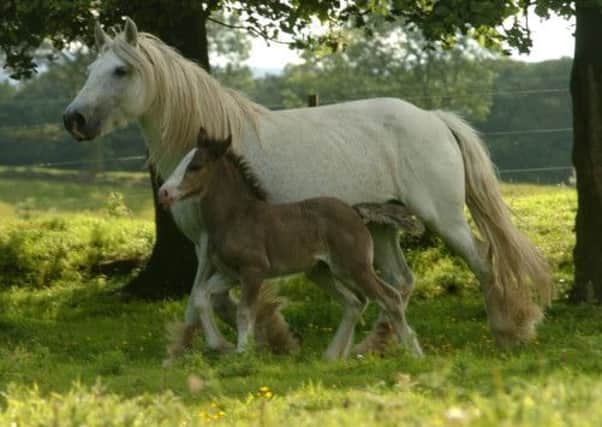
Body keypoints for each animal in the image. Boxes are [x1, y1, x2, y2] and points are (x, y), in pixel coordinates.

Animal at [64, 18, 548, 354]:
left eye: (120, 71)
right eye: (90, 68)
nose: (75, 119)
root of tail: (435, 118)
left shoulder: (207, 247)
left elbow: (203, 299)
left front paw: (232, 344)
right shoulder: (211, 249)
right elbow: (210, 299)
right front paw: (273, 339)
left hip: (444, 219)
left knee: (482, 263)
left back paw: (506, 334)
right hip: (382, 227)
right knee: (399, 283)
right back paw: (369, 346)